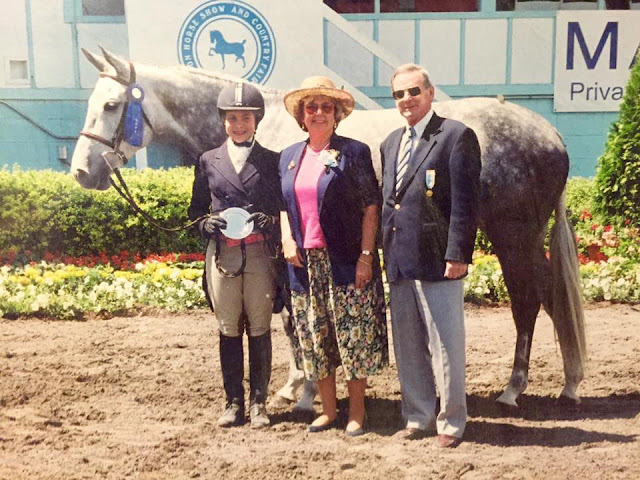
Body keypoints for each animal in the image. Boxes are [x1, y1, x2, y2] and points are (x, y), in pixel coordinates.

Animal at [71, 48, 586, 411]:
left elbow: (288, 322)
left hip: (513, 236)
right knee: (551, 297)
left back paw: (514, 390)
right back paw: (569, 383)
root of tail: (550, 134)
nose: (81, 171)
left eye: (112, 104)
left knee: (528, 301)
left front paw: (297, 387)